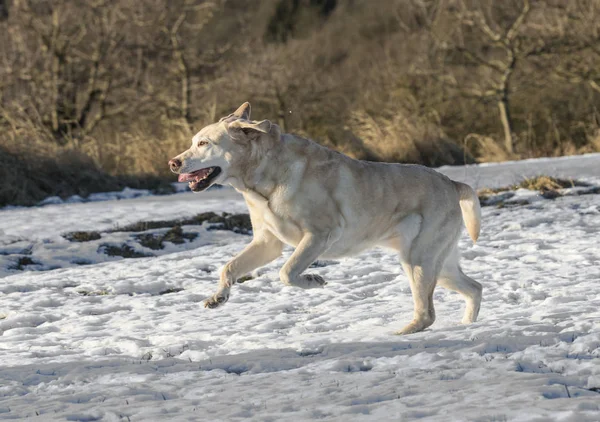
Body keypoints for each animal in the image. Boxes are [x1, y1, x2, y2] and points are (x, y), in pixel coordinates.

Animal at [169, 103, 482, 336]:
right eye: (193, 142)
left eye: (203, 143)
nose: (173, 162)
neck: (261, 179)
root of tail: (452, 183)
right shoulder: (267, 243)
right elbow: (229, 267)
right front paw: (218, 297)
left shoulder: (320, 234)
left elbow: (287, 272)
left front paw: (313, 280)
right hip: (438, 264)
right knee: (474, 288)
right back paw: (467, 324)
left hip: (418, 260)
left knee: (427, 312)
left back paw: (401, 333)